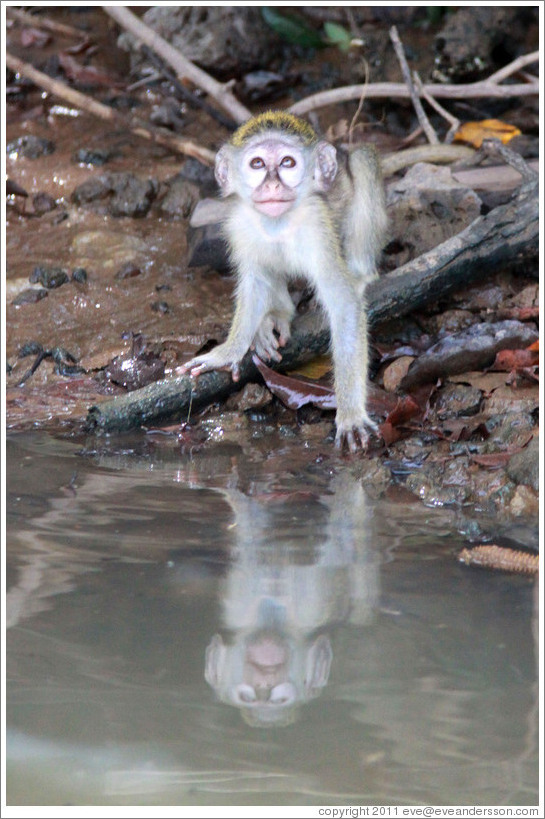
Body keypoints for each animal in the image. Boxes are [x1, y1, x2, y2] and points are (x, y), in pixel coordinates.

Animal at [180, 109, 386, 452]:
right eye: (257, 164)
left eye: (288, 163)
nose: (273, 186)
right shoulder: (239, 223)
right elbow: (254, 280)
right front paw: (229, 352)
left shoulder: (317, 224)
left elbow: (344, 305)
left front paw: (351, 414)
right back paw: (274, 318)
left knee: (362, 158)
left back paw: (360, 273)